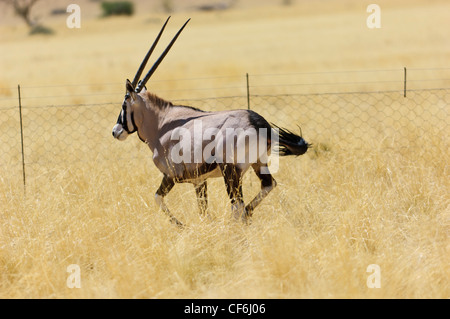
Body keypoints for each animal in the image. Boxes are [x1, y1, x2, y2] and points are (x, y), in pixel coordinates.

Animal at [112, 18, 310, 228]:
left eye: (124, 104)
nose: (116, 131)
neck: (161, 124)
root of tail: (258, 123)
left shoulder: (171, 176)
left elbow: (157, 198)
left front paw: (180, 225)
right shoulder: (199, 181)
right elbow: (203, 211)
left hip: (231, 171)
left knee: (237, 205)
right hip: (258, 163)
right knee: (266, 186)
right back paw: (248, 214)